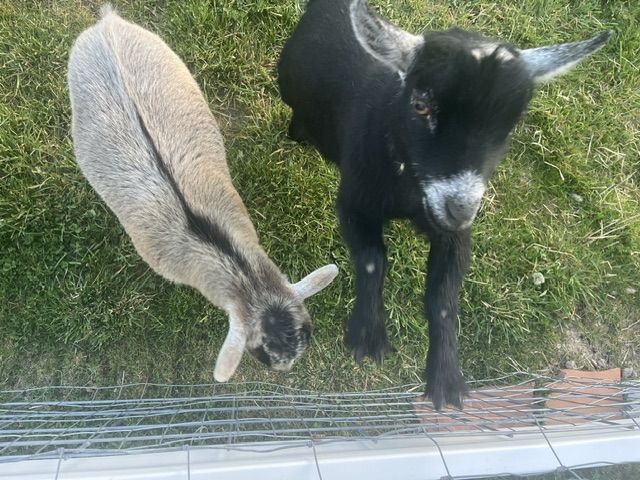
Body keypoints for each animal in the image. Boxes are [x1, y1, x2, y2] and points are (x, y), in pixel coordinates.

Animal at [278, 0, 610, 409]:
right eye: (421, 105)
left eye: (509, 124)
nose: (460, 210)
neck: (407, 186)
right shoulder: (355, 201)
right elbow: (373, 257)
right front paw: (368, 334)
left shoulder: (453, 235)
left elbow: (443, 295)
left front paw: (446, 379)